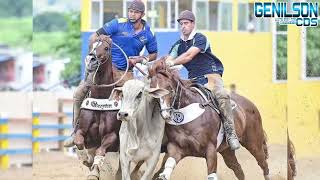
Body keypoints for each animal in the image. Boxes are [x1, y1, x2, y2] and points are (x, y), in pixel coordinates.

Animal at [74, 34, 121, 179]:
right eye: (91, 45)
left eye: (106, 48)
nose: (90, 60)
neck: (100, 101)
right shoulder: (82, 131)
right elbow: (79, 142)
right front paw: (86, 160)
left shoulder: (112, 136)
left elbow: (101, 151)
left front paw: (94, 172)